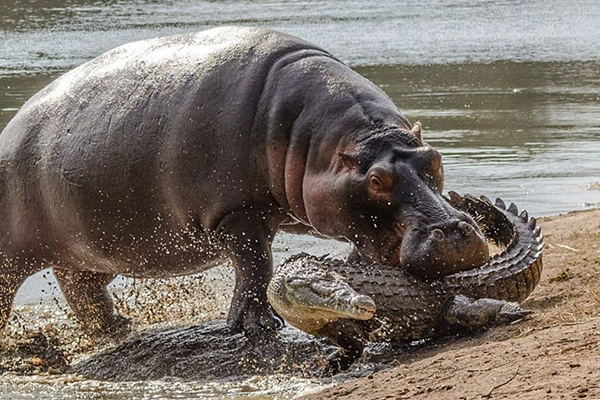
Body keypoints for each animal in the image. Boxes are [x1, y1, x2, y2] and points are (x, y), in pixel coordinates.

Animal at [0, 26, 488, 336]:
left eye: (434, 159)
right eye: (376, 181)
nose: (456, 231)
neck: (315, 142)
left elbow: (356, 249)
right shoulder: (235, 214)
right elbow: (256, 267)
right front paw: (256, 327)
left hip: (82, 250)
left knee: (81, 288)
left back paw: (117, 327)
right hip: (14, 255)